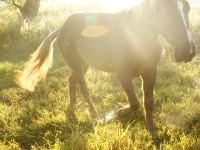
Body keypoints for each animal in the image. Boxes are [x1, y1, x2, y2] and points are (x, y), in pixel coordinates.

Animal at [15, 0, 195, 132]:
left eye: (187, 8)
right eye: (165, 10)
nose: (188, 51)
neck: (137, 38)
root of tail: (61, 29)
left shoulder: (150, 73)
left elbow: (148, 102)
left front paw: (151, 128)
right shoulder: (123, 75)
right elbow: (134, 103)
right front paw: (117, 113)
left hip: (83, 64)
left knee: (72, 81)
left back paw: (73, 108)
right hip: (77, 64)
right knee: (84, 88)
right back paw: (96, 116)